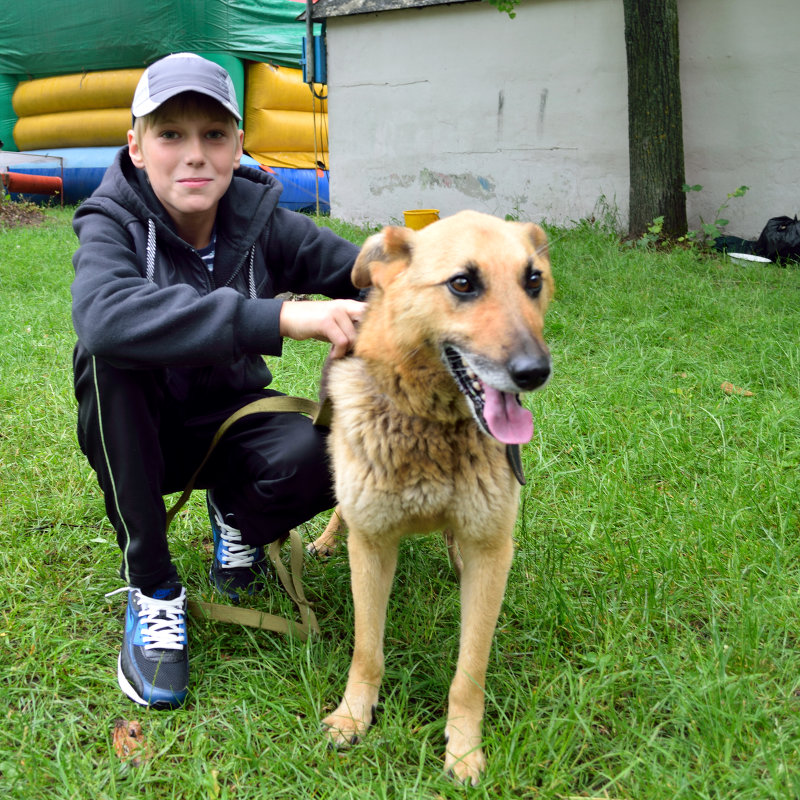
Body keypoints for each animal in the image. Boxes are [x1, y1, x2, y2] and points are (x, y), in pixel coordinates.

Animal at [316, 209, 552, 784]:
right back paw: (326, 538)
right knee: (340, 509)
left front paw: (464, 748)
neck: (430, 422)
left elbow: (470, 670)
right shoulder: (372, 546)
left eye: (533, 280)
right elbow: (367, 650)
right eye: (462, 283)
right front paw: (353, 716)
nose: (535, 373)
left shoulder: (491, 550)